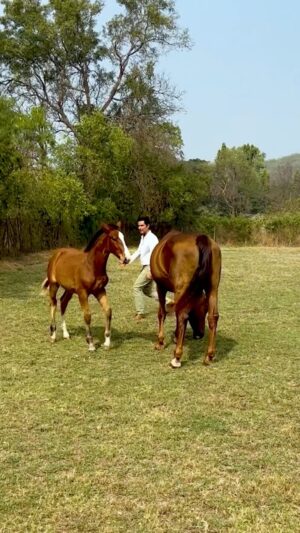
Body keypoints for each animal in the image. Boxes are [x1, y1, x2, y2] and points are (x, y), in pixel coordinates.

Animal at [40, 223, 126, 352]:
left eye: (123, 237)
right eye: (114, 238)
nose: (126, 259)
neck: (91, 266)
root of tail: (57, 253)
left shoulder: (100, 290)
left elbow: (108, 311)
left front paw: (107, 342)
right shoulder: (82, 293)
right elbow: (87, 315)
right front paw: (90, 344)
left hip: (69, 289)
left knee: (63, 302)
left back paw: (66, 334)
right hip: (54, 285)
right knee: (53, 304)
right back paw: (53, 335)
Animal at [151, 231, 221, 368]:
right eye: (203, 310)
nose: (200, 334)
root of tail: (202, 239)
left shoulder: (160, 286)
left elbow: (162, 313)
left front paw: (161, 341)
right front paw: (176, 335)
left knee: (182, 315)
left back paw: (177, 357)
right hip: (213, 289)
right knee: (213, 317)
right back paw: (209, 355)